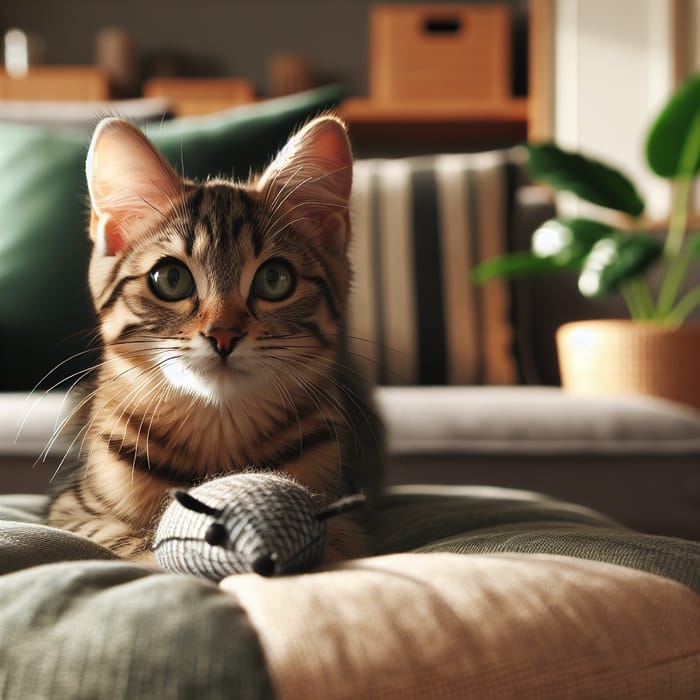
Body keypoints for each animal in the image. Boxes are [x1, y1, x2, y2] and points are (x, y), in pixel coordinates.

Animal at [46, 115, 386, 564]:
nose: (223, 334)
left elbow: (343, 541)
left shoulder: (353, 512)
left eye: (274, 279)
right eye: (170, 278)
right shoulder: (72, 509)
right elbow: (124, 540)